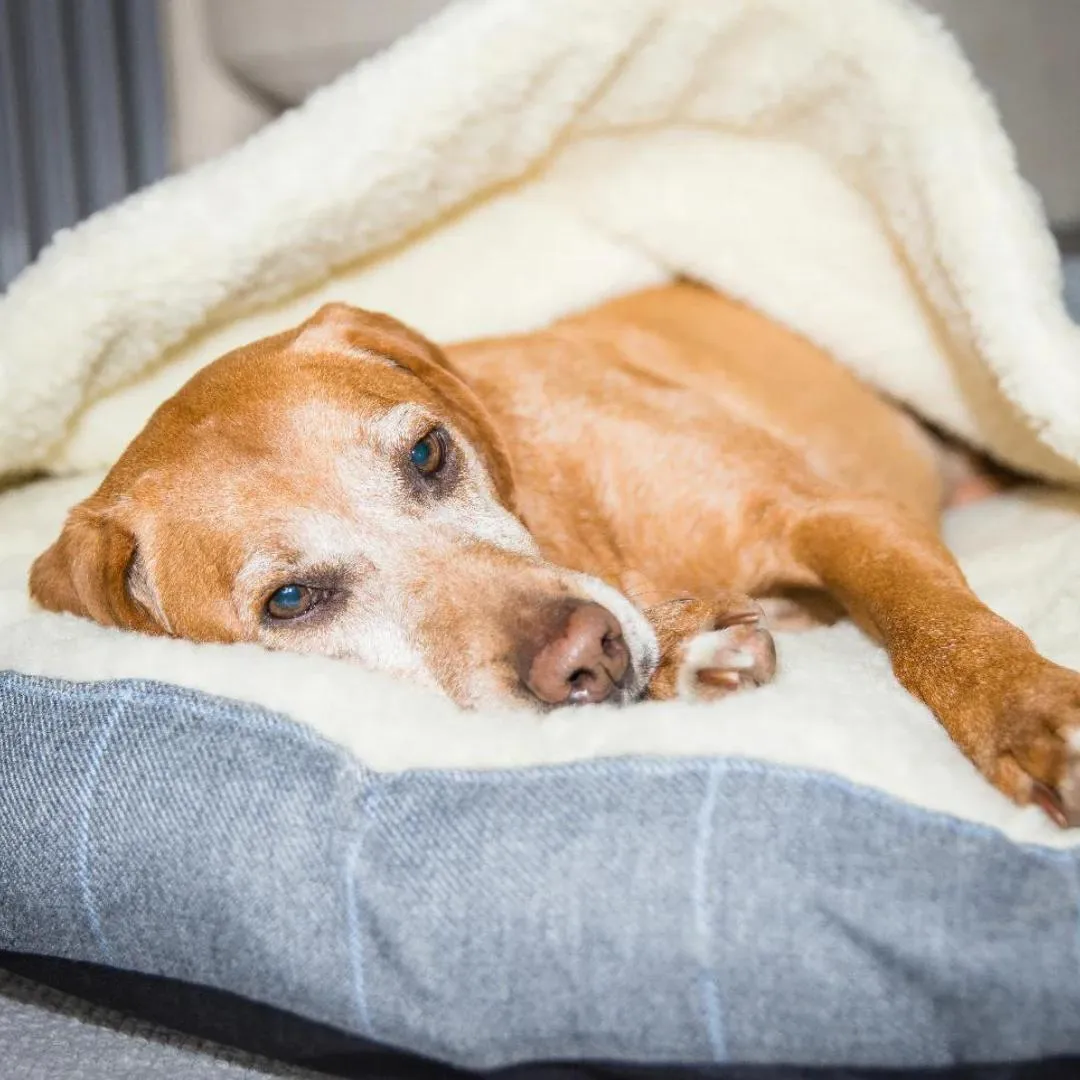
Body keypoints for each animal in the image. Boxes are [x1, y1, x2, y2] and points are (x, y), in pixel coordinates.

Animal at [29, 282, 1075, 820]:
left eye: (427, 453)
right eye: (289, 601)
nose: (585, 655)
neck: (573, 519)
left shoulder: (838, 514)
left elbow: (934, 628)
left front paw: (1028, 713)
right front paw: (686, 645)